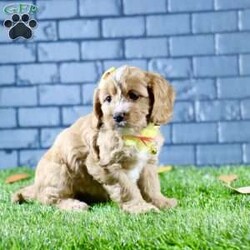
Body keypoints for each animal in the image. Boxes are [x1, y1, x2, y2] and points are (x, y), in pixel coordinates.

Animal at [11, 65, 176, 214]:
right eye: (108, 99)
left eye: (134, 95)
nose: (117, 116)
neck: (134, 135)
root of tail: (36, 187)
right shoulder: (105, 164)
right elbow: (126, 187)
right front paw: (140, 208)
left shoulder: (148, 162)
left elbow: (151, 184)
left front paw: (160, 201)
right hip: (59, 172)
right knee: (49, 199)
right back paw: (73, 205)